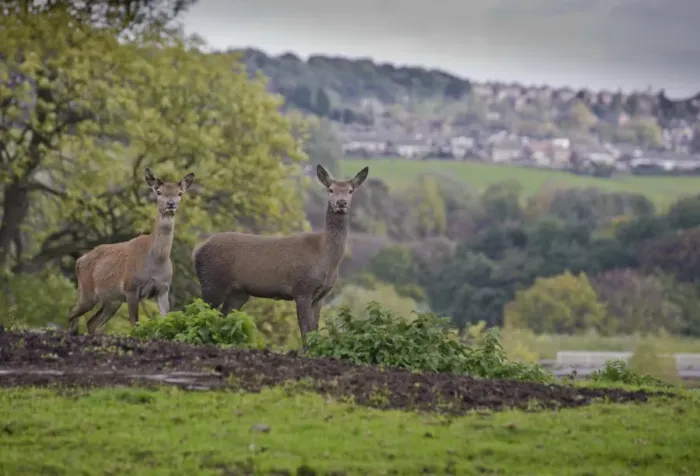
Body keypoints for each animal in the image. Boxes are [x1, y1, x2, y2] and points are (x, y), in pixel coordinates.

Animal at [66, 167, 195, 335]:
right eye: (159, 192)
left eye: (180, 193)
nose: (171, 204)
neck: (155, 261)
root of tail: (79, 260)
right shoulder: (131, 288)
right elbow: (135, 324)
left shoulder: (163, 289)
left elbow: (166, 320)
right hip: (87, 291)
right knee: (71, 311)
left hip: (112, 300)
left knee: (91, 322)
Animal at [192, 164, 369, 348]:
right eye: (331, 189)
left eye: (350, 190)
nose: (341, 203)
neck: (325, 257)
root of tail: (197, 251)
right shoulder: (302, 288)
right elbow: (305, 332)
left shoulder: (320, 296)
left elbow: (314, 330)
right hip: (212, 281)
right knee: (198, 311)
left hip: (238, 293)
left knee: (222, 316)